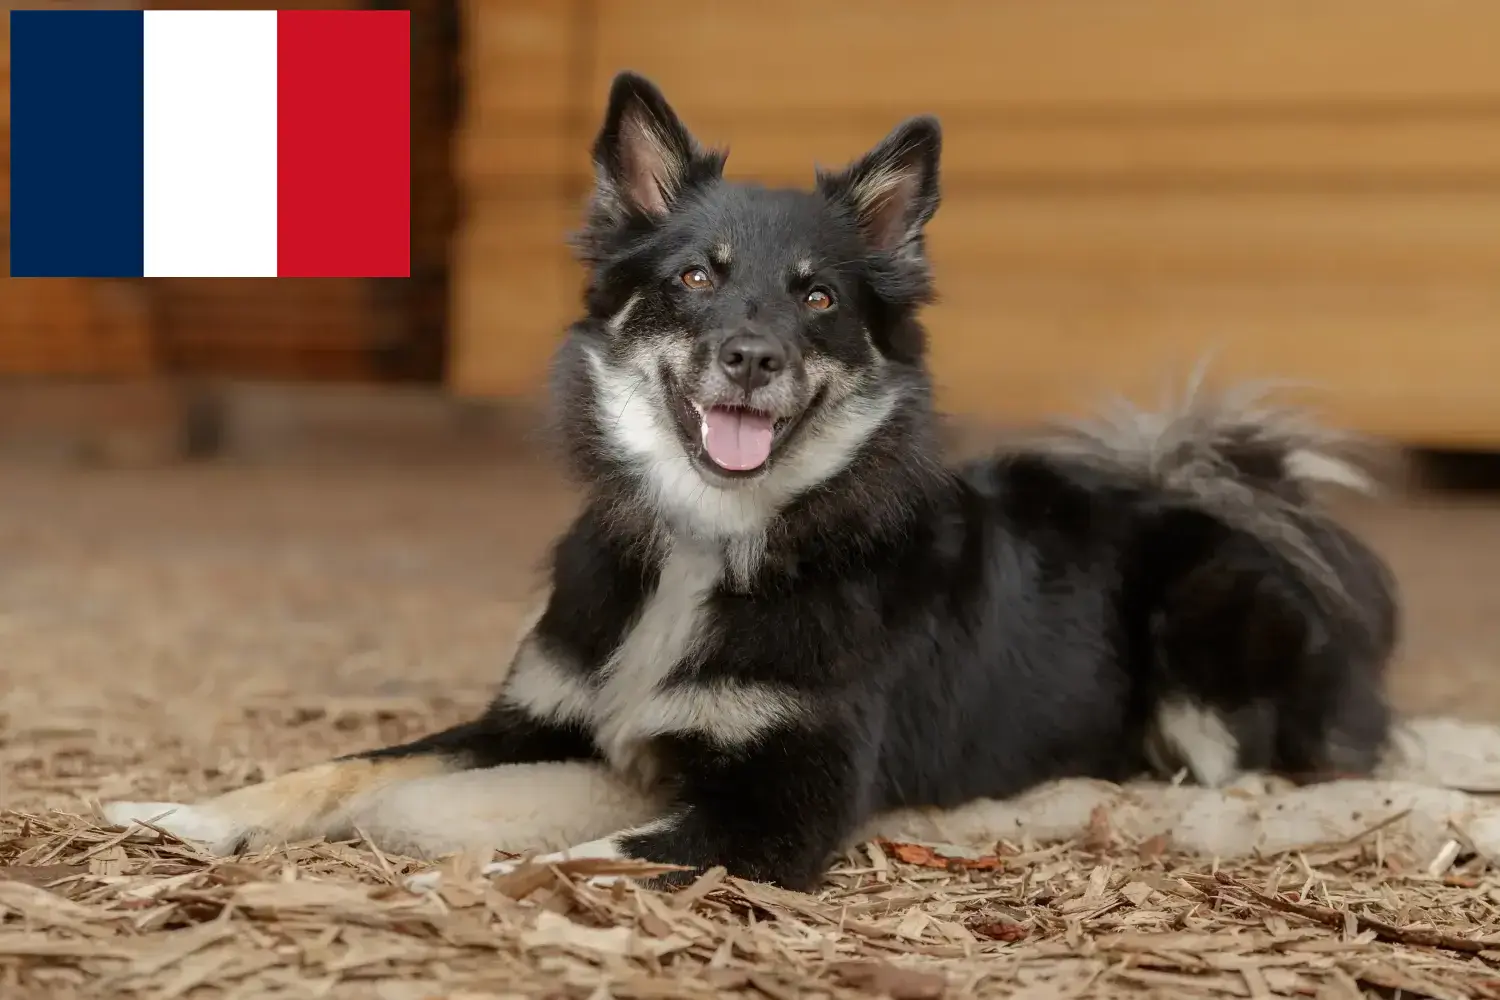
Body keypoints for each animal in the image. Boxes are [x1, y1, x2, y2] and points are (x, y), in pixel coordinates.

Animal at [102, 74, 1392, 893]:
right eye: (694, 277)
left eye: (817, 294)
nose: (753, 356)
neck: (707, 539)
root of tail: (1218, 487)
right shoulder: (532, 717)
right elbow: (351, 763)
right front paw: (193, 812)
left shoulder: (785, 811)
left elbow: (600, 855)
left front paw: (485, 884)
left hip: (1208, 641)